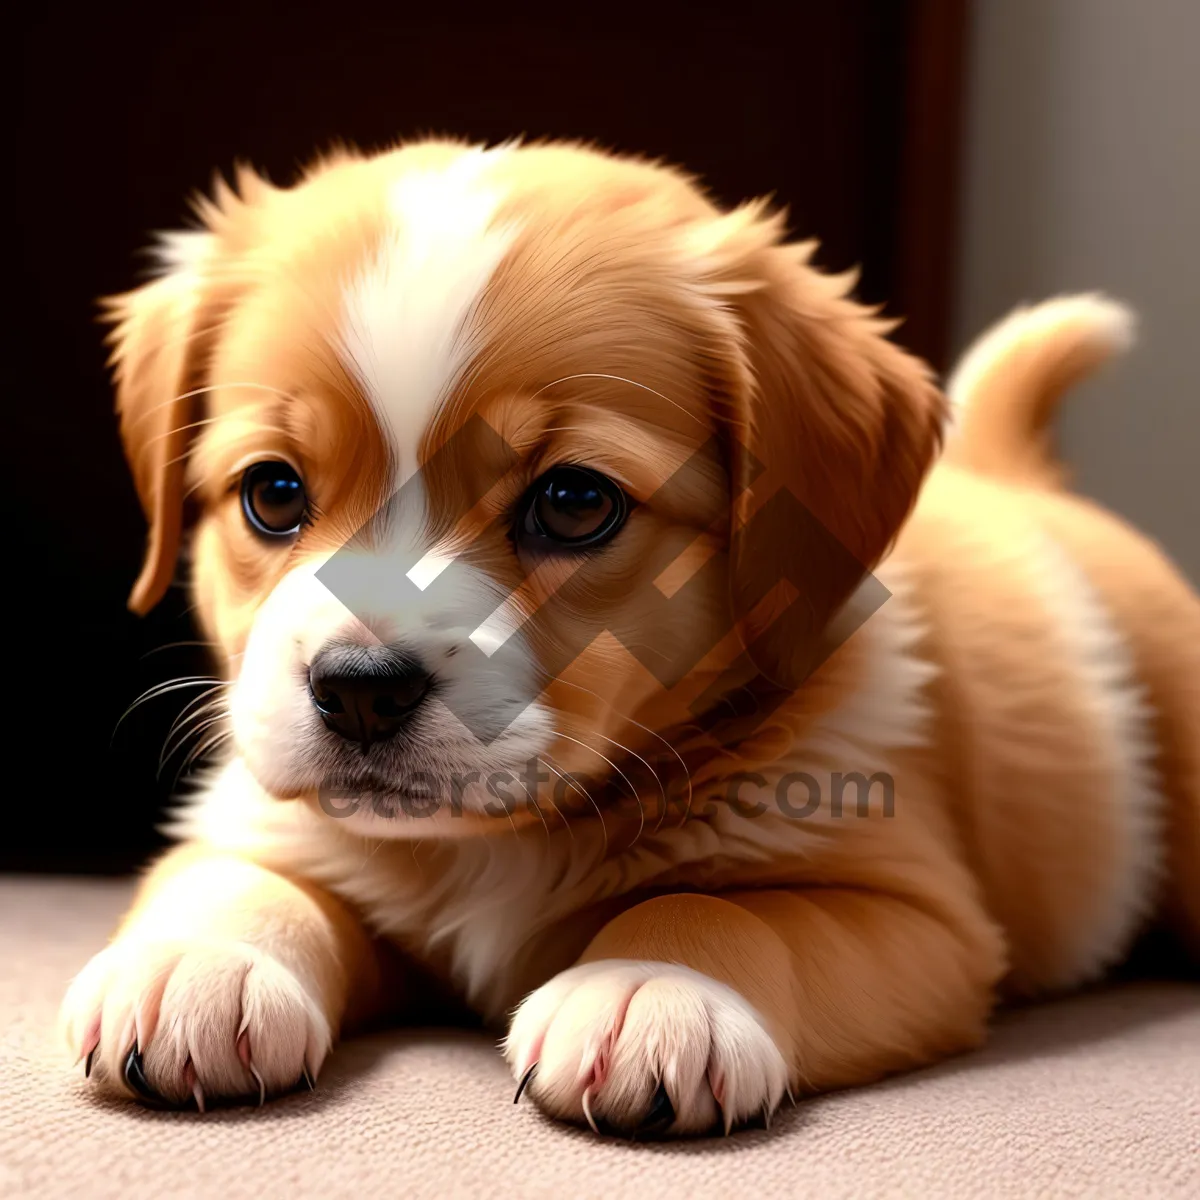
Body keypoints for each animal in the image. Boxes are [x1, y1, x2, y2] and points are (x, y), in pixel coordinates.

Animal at [58, 138, 1200, 1132]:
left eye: (574, 503)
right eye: (274, 494)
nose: (360, 689)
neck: (485, 852)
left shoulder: (913, 909)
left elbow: (733, 912)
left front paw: (652, 984)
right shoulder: (258, 822)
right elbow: (237, 880)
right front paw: (200, 966)